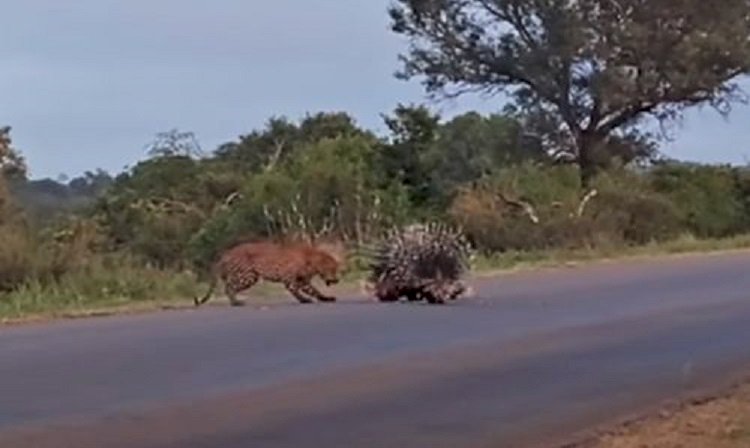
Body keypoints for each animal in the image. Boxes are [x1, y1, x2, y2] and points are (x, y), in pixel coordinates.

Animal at [195, 242, 346, 308]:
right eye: (332, 269)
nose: (337, 280)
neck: (312, 262)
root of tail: (228, 252)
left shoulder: (303, 280)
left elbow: (314, 291)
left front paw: (326, 298)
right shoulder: (289, 279)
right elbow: (296, 290)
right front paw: (304, 300)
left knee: (228, 285)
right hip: (248, 276)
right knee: (229, 286)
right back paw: (236, 302)